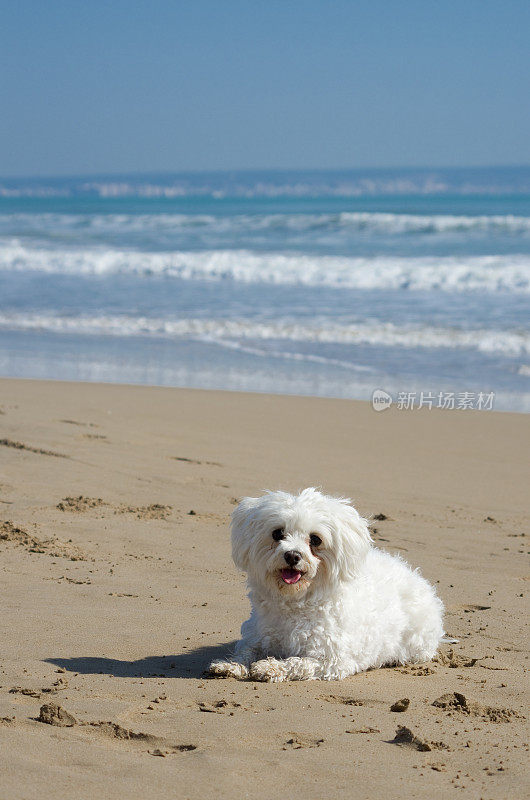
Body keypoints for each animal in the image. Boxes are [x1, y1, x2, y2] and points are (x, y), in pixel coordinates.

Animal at [208, 488, 444, 680]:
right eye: (277, 534)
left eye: (315, 539)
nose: (292, 555)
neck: (295, 601)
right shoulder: (259, 636)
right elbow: (246, 652)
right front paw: (231, 664)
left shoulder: (331, 660)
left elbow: (297, 663)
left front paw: (269, 667)